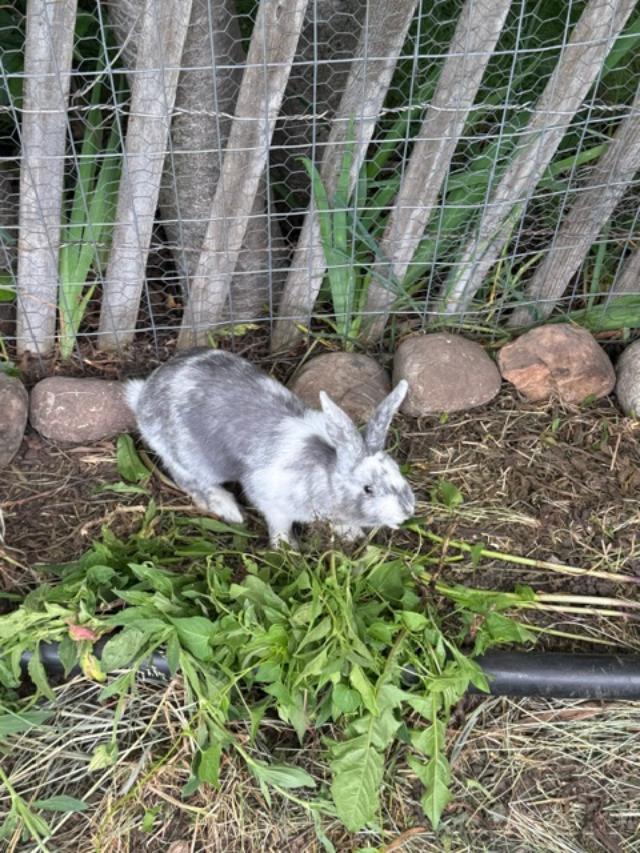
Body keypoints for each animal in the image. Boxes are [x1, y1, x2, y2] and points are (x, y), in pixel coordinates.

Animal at [125, 348, 415, 547]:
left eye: (397, 470)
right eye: (368, 489)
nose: (407, 511)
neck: (325, 472)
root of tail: (143, 395)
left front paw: (352, 535)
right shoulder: (271, 501)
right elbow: (279, 525)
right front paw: (287, 549)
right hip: (190, 459)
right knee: (190, 481)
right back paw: (228, 508)